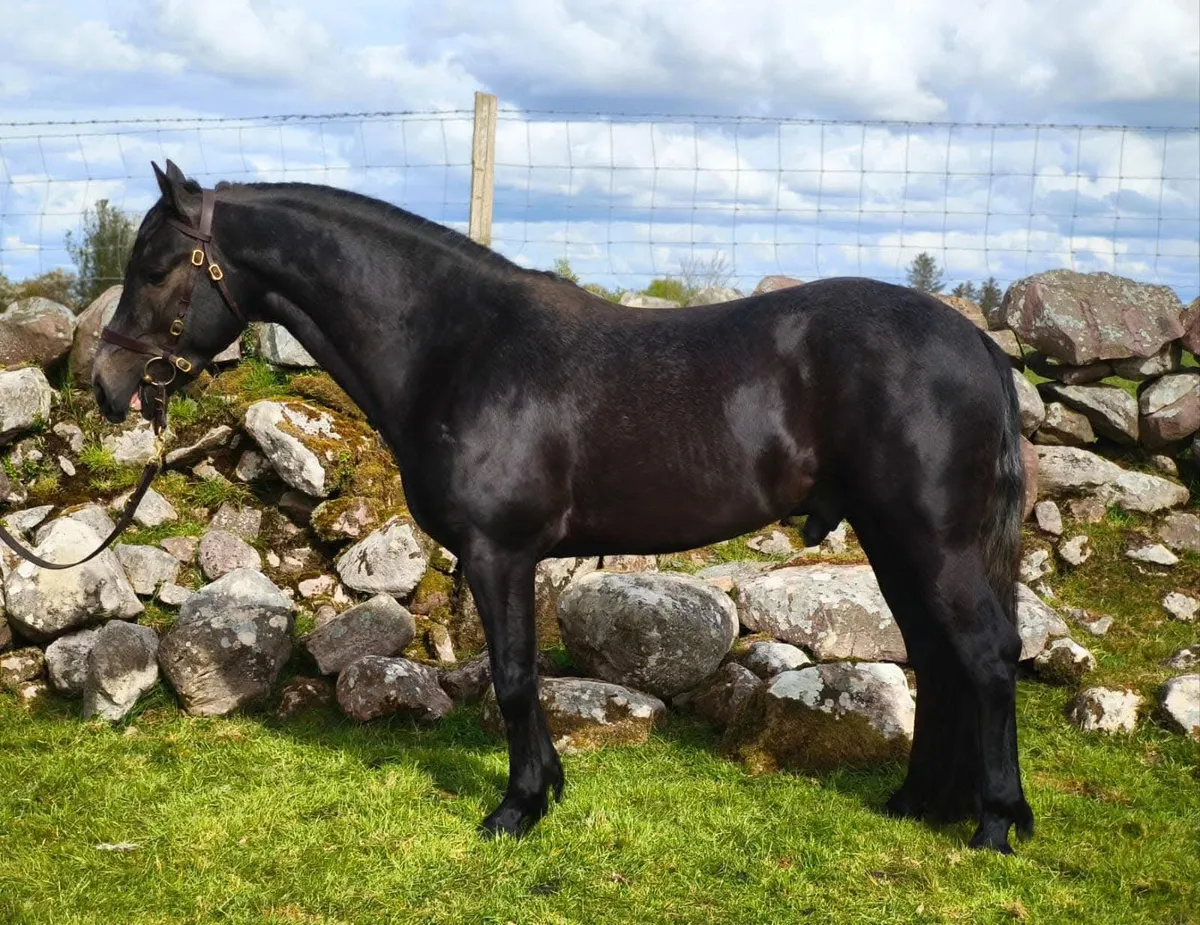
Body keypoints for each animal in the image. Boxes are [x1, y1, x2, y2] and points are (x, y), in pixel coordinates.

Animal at [92, 161, 1034, 853]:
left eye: (157, 268)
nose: (106, 384)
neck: (457, 346)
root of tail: (977, 343)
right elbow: (523, 679)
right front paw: (546, 791)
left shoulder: (497, 552)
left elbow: (513, 680)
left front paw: (515, 809)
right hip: (893, 538)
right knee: (940, 660)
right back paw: (918, 802)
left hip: (934, 541)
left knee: (986, 657)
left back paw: (994, 822)